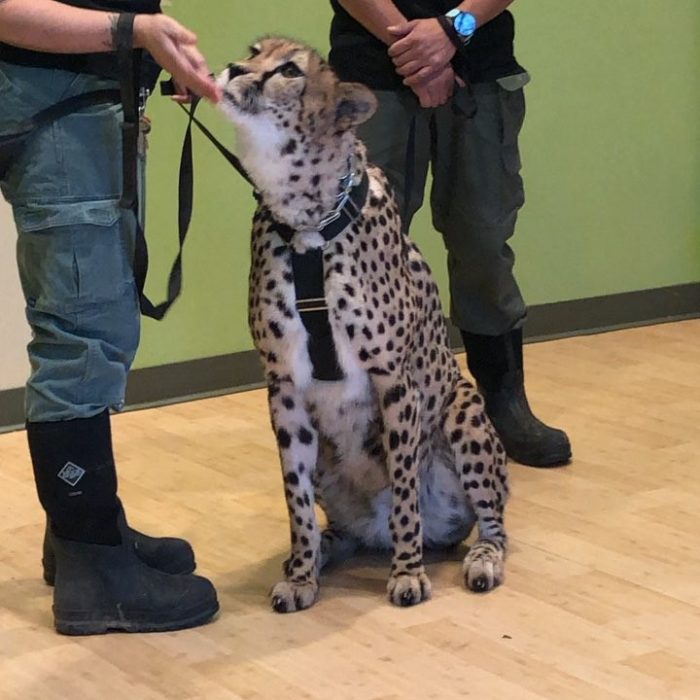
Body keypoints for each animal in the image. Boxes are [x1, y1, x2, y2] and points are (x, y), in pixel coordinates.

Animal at [217, 37, 509, 612]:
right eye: (253, 51)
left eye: (289, 70)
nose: (235, 70)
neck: (306, 222)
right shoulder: (282, 387)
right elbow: (296, 502)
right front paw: (301, 575)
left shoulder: (394, 379)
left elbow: (404, 490)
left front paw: (408, 573)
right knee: (339, 527)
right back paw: (320, 552)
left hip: (463, 411)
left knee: (492, 524)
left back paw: (480, 558)